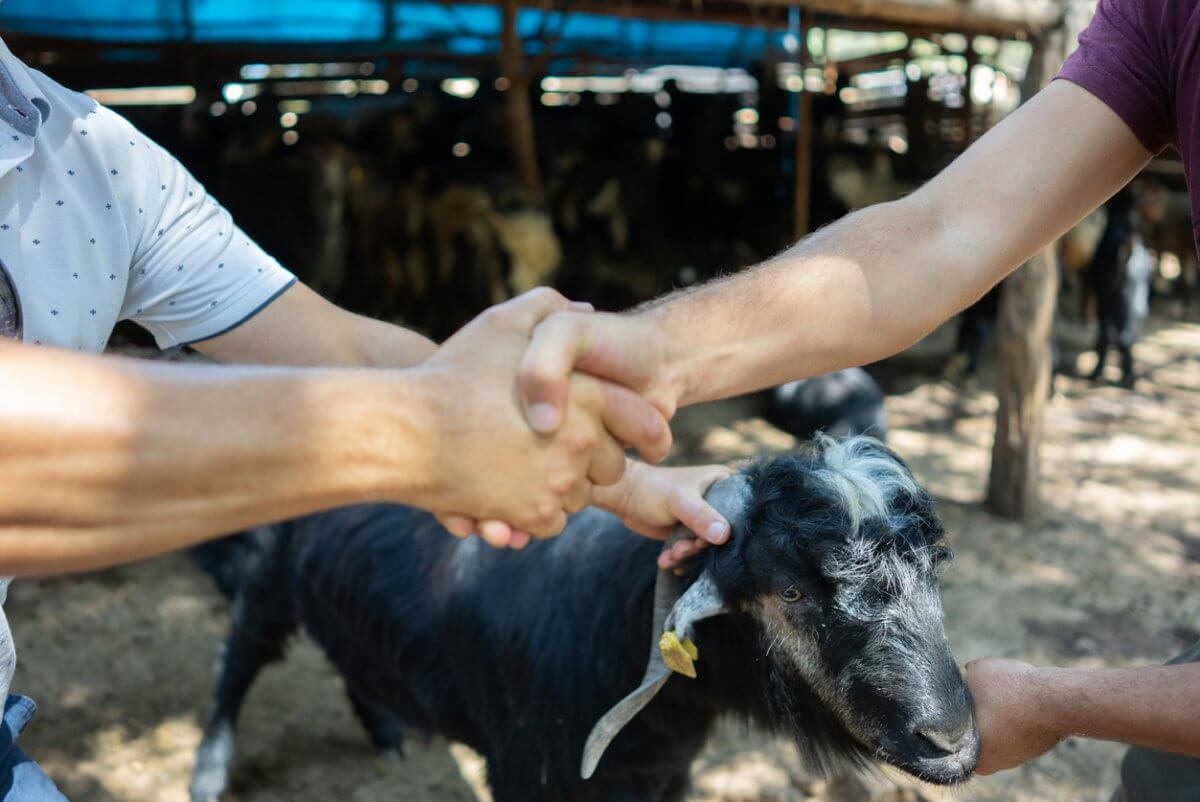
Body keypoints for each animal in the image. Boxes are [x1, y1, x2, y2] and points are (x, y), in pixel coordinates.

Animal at [187, 439, 974, 802]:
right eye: (790, 593)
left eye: (936, 565)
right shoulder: (529, 771)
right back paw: (209, 770)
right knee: (236, 660)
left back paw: (386, 733)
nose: (952, 740)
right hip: (266, 578)